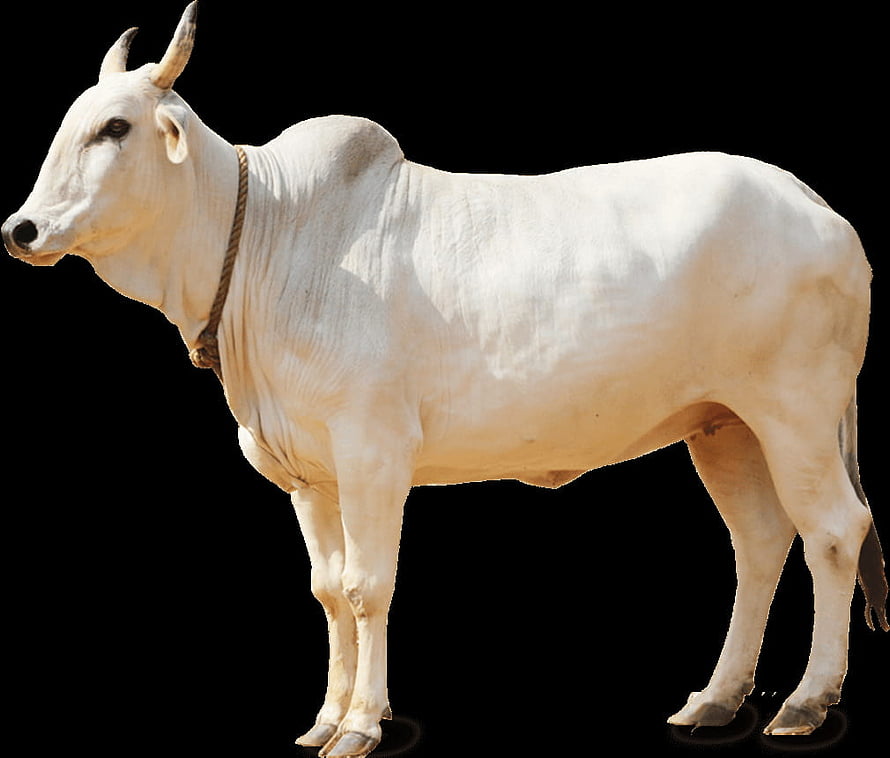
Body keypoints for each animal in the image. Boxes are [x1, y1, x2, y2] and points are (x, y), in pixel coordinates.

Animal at [3, 3, 887, 756]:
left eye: (115, 127)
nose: (23, 229)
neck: (265, 237)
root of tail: (814, 204)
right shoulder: (308, 475)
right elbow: (327, 591)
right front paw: (324, 717)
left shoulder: (372, 452)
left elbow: (367, 585)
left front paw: (361, 723)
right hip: (724, 425)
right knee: (760, 544)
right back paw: (716, 698)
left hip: (796, 412)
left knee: (834, 532)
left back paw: (806, 701)